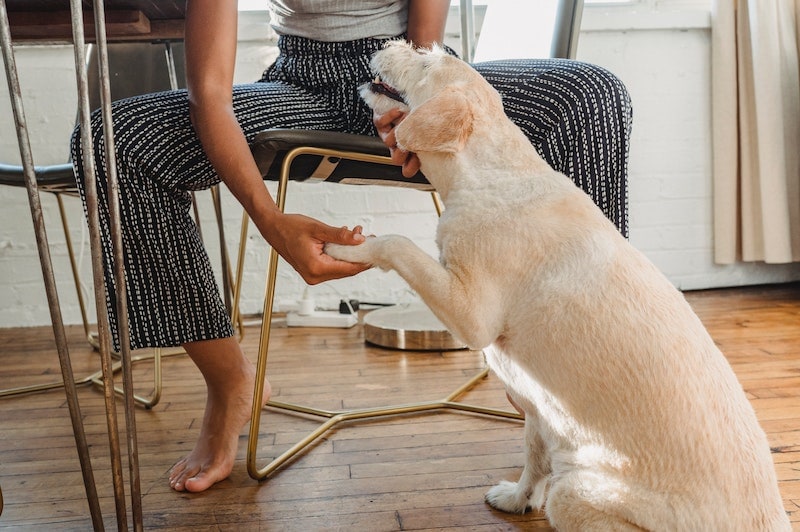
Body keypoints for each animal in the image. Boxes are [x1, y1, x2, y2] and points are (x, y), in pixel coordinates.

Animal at [324, 42, 788, 532]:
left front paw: (348, 248)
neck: (489, 173)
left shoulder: (472, 316)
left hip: (572, 495)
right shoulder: (538, 408)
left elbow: (396, 243)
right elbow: (533, 458)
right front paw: (517, 499)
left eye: (427, 61)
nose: (387, 43)